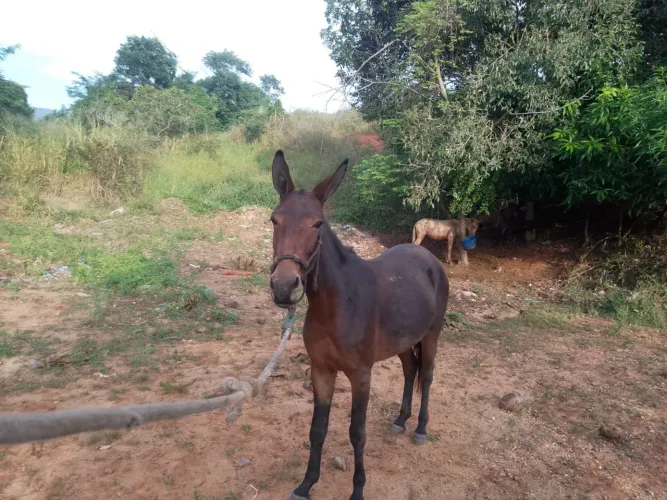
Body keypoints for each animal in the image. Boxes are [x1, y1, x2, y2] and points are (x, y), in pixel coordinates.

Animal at [268, 150, 449, 500]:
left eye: (318, 223)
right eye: (274, 219)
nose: (284, 287)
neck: (336, 306)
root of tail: (429, 258)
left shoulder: (361, 374)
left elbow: (357, 433)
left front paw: (358, 490)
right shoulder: (321, 370)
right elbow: (317, 428)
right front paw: (306, 484)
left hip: (431, 336)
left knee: (427, 376)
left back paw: (420, 427)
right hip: (403, 342)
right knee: (410, 371)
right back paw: (401, 420)